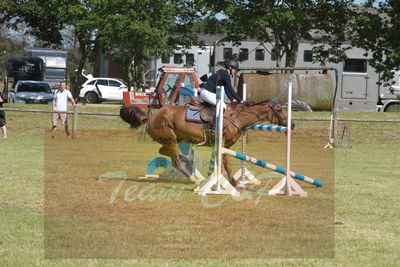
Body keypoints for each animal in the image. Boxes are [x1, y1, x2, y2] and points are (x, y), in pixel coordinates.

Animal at [120, 100, 290, 186]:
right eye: (280, 110)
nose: (292, 124)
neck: (237, 117)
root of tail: (151, 117)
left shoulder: (225, 147)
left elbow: (226, 164)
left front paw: (233, 182)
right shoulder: (223, 145)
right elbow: (224, 164)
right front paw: (226, 183)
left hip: (174, 139)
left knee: (164, 152)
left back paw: (187, 162)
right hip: (171, 139)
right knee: (175, 162)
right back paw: (195, 179)